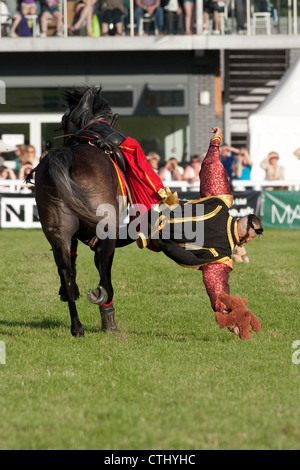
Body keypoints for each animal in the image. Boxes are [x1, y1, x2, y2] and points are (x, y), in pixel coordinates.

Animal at [31, 87, 127, 338]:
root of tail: (67, 155)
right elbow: (104, 266)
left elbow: (71, 267)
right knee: (102, 268)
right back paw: (102, 305)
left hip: (58, 231)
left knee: (65, 271)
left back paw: (77, 326)